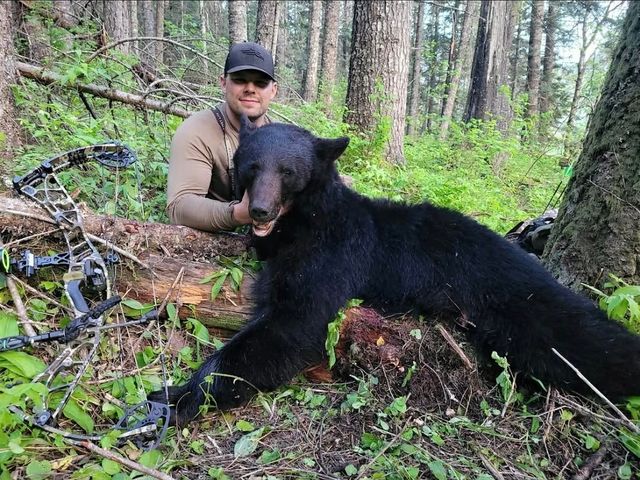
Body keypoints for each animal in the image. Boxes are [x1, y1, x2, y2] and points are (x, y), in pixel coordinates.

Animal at [151, 117, 640, 426]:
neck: (305, 221)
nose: (260, 209)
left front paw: (177, 398)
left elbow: (294, 322)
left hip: (515, 299)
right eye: (251, 165)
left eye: (288, 171)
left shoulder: (333, 254)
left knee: (580, 343)